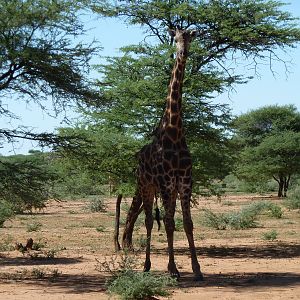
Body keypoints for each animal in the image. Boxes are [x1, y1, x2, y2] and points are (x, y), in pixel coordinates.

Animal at [122, 28, 204, 282]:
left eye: (190, 38)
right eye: (175, 38)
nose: (182, 52)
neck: (174, 133)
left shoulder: (185, 182)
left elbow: (187, 223)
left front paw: (197, 269)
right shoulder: (167, 182)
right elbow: (168, 224)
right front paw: (173, 269)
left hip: (164, 189)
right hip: (145, 185)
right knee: (149, 221)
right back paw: (147, 265)